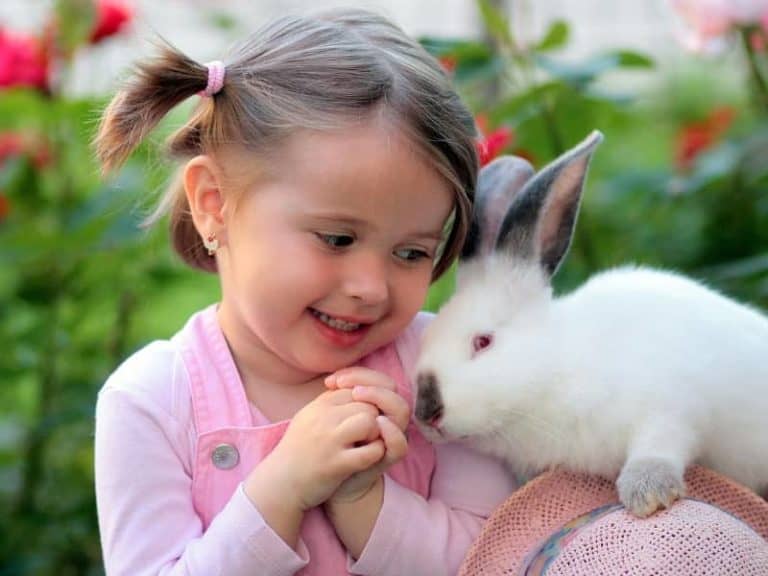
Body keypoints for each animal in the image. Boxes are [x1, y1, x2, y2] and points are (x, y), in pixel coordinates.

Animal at [413, 130, 768, 517]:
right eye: (426, 338)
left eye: (483, 341)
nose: (425, 411)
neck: (556, 366)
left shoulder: (669, 408)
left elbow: (659, 444)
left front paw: (646, 494)